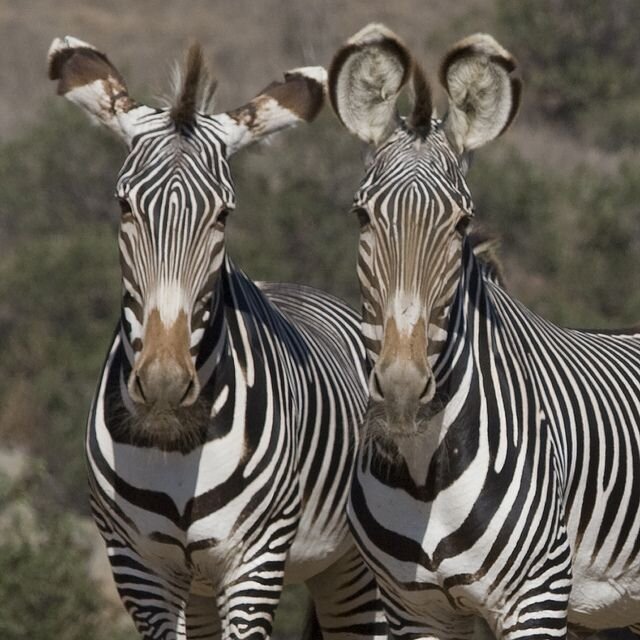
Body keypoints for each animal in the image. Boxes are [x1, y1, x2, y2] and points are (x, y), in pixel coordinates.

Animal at [47, 36, 388, 640]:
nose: (163, 384)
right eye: (124, 206)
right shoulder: (137, 567)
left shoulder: (255, 560)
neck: (177, 443)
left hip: (351, 570)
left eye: (224, 215)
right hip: (201, 588)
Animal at [328, 22, 640, 636]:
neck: (423, 471)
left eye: (462, 222)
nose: (401, 391)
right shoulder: (413, 608)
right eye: (362, 215)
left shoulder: (539, 597)